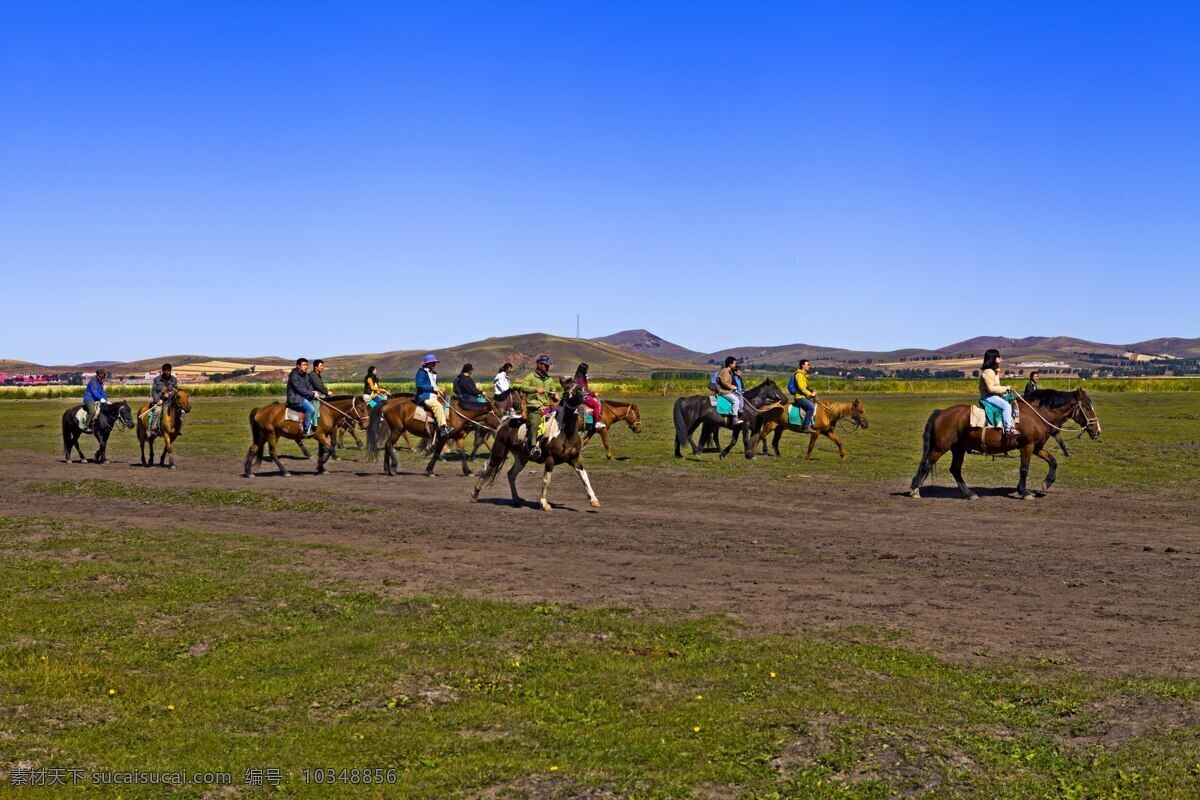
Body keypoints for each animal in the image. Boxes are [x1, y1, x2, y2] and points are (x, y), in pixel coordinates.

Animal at [468, 379, 600, 510]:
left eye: (580, 388)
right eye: (567, 387)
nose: (569, 394)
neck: (565, 434)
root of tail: (504, 422)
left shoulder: (575, 459)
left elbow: (584, 476)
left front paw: (594, 499)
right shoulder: (550, 460)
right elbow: (546, 480)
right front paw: (544, 503)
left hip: (521, 458)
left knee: (511, 474)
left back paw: (516, 499)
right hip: (498, 453)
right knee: (487, 468)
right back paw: (474, 495)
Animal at [907, 388, 1099, 501]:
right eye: (1087, 407)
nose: (1097, 430)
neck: (1037, 414)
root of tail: (941, 413)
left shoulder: (1036, 447)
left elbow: (1053, 461)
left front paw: (1046, 483)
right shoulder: (1027, 447)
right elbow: (1024, 469)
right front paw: (1024, 492)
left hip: (958, 449)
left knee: (954, 469)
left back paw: (970, 494)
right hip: (941, 447)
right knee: (926, 464)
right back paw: (915, 491)